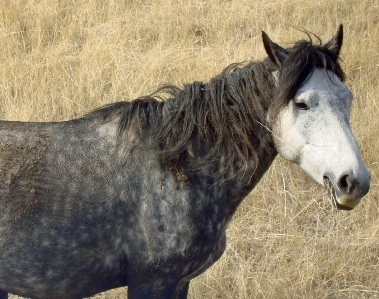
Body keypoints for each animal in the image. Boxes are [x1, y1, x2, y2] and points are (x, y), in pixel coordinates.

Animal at [0, 24, 372, 298]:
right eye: (302, 103)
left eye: (347, 97)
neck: (179, 170)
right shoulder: (153, 282)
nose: (354, 182)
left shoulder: (179, 282)